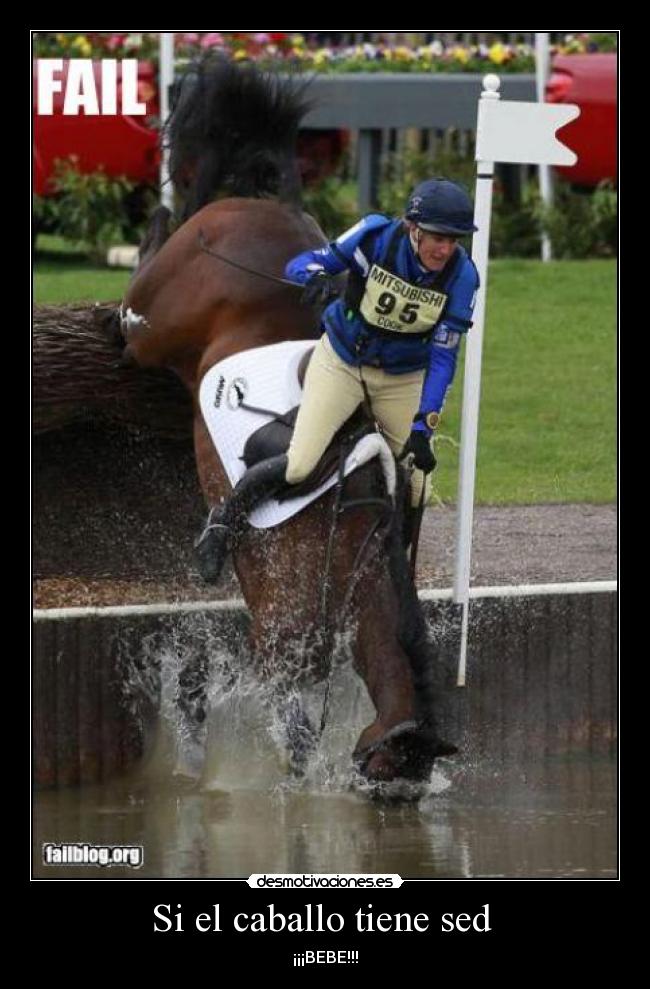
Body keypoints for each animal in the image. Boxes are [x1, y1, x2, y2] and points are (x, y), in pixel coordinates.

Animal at [120, 56, 456, 787]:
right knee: (154, 251)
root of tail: (254, 205)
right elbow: (274, 721)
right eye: (386, 780)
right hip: (152, 321)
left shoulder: (310, 651)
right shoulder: (281, 634)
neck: (357, 560)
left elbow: (300, 729)